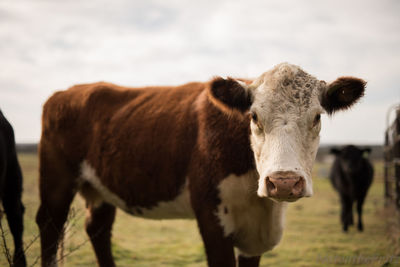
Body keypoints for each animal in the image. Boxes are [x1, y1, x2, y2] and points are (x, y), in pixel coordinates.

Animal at [36, 63, 366, 267]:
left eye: (317, 116)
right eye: (254, 116)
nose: (283, 181)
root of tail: (68, 92)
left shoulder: (254, 237)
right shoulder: (211, 217)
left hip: (101, 188)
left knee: (98, 229)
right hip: (56, 180)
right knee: (50, 225)